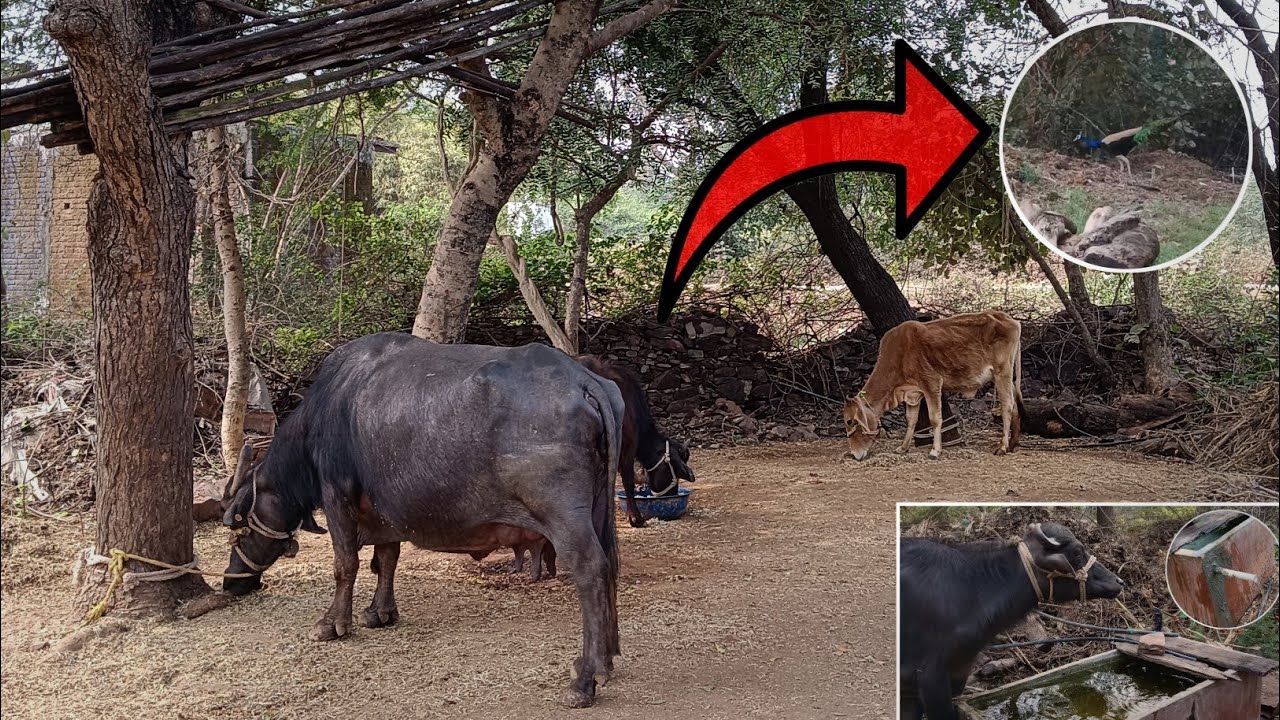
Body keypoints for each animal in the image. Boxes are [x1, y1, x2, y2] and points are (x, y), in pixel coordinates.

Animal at [220, 332, 625, 708]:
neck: (333, 404)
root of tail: (581, 380)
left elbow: (345, 564)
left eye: (238, 529)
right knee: (609, 565)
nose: (230, 583)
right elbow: (386, 559)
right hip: (599, 507)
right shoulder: (382, 510)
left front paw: (332, 623)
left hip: (564, 515)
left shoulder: (337, 495)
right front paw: (380, 611)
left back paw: (584, 681)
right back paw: (606, 660)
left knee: (591, 569)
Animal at [842, 311, 1024, 460]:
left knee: (1007, 405)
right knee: (1014, 403)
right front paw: (903, 447)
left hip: (1002, 372)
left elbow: (935, 419)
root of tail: (1010, 319)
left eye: (850, 421)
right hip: (1005, 375)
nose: (855, 454)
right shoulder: (913, 393)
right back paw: (1012, 443)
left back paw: (1002, 447)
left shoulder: (932, 383)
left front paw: (935, 451)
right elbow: (911, 420)